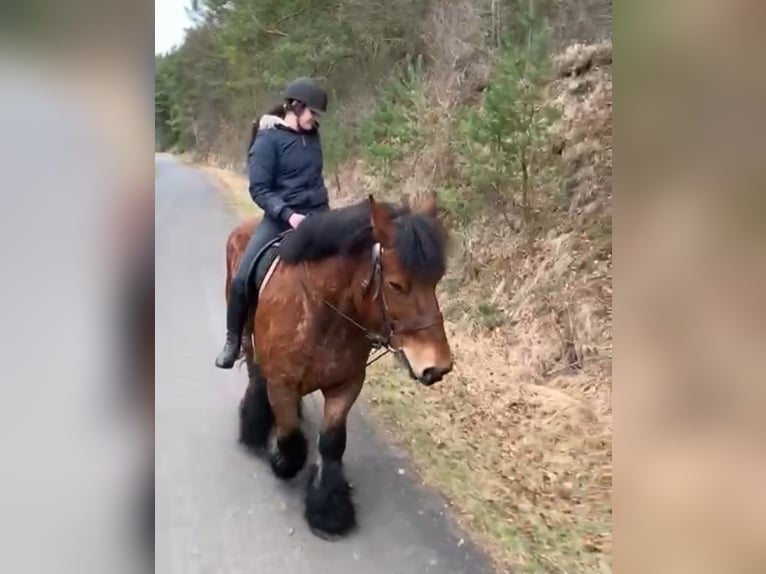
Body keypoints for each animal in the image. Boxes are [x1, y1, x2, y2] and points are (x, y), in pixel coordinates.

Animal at [228, 192, 456, 540]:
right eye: (396, 284)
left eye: (436, 279)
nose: (438, 366)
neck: (323, 312)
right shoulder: (281, 383)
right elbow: (291, 438)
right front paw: (282, 461)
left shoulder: (346, 384)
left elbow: (332, 443)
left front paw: (329, 510)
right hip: (247, 339)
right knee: (256, 377)